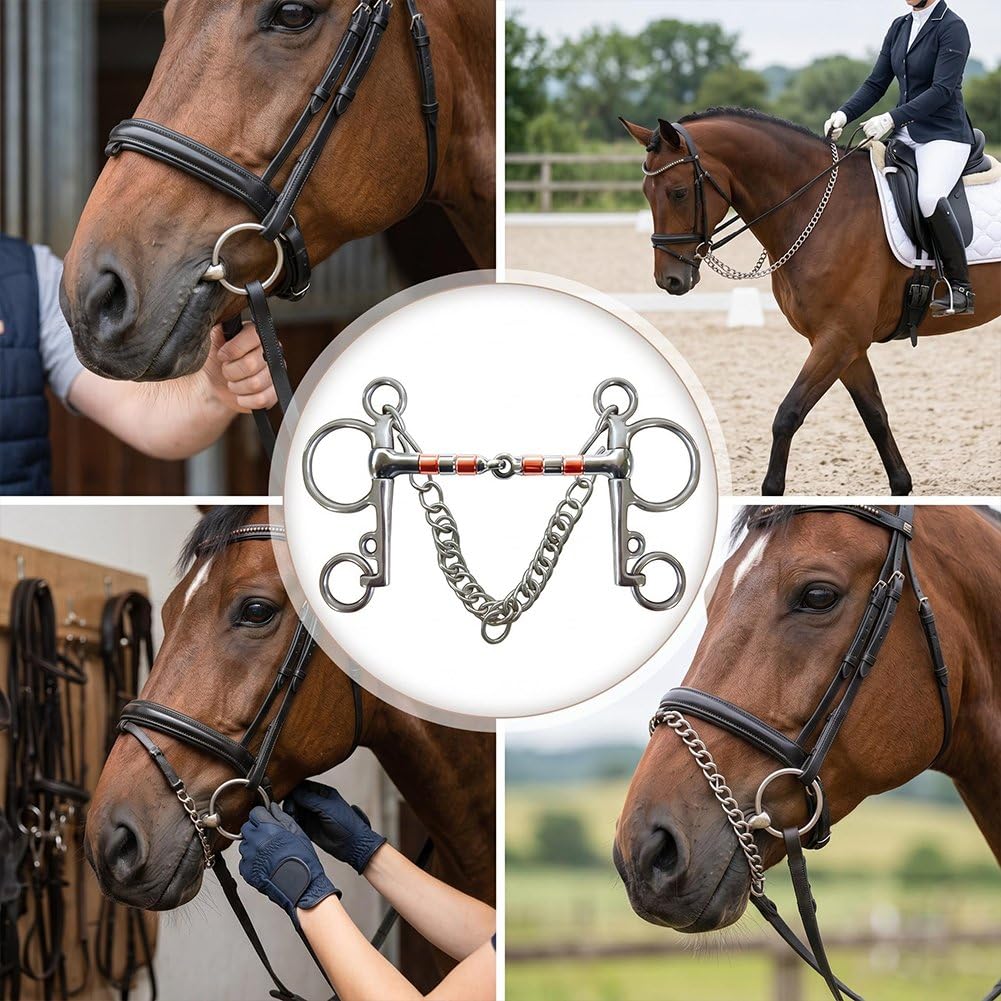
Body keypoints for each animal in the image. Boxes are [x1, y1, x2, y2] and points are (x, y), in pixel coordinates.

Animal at [621, 110, 1001, 496]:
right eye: (646, 193)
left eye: (678, 192)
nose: (669, 280)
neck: (815, 207)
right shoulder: (845, 346)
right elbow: (874, 416)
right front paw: (901, 486)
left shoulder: (838, 340)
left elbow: (788, 415)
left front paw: (772, 490)